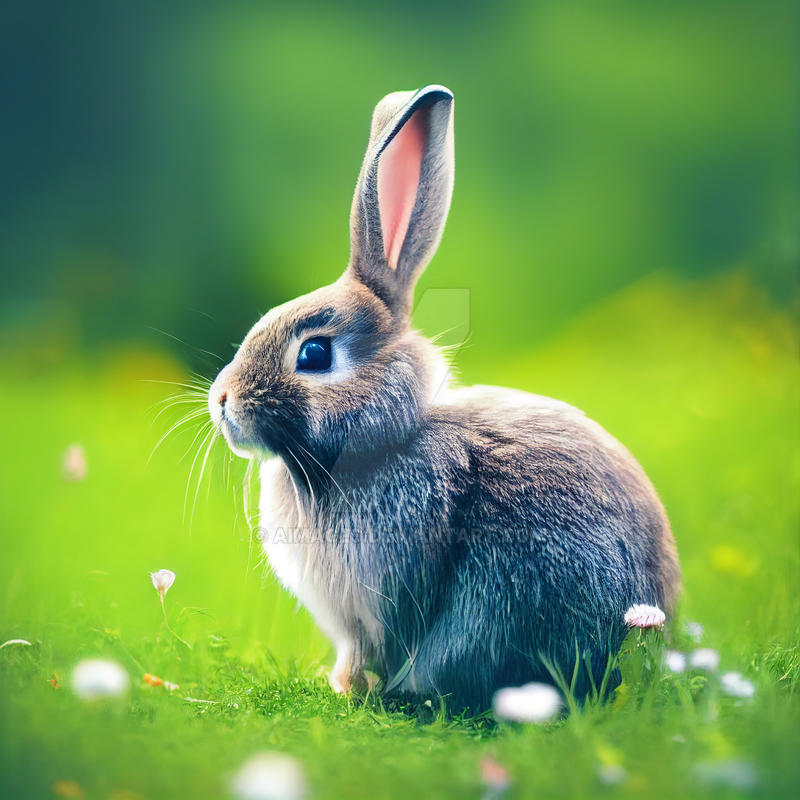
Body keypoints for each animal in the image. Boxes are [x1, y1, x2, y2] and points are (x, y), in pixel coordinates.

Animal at [208, 85, 681, 711]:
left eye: (312, 355)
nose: (223, 401)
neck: (381, 441)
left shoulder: (382, 595)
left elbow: (374, 646)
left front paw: (349, 689)